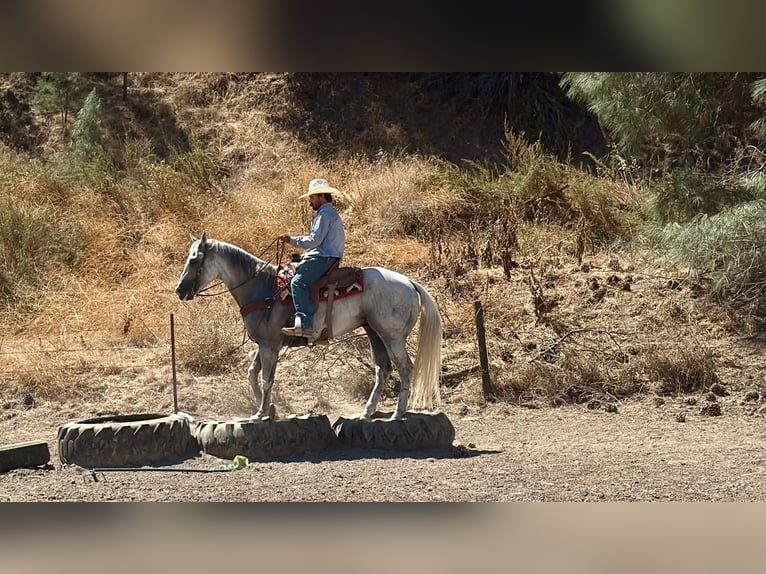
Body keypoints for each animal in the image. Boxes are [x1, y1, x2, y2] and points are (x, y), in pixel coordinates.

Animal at [174, 232, 442, 420]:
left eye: (194, 259)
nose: (179, 290)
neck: (262, 287)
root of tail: (409, 282)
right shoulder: (266, 343)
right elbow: (252, 374)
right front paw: (269, 408)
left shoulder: (270, 345)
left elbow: (267, 378)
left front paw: (261, 413)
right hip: (374, 332)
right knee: (382, 369)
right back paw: (367, 412)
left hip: (392, 336)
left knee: (404, 368)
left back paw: (398, 413)